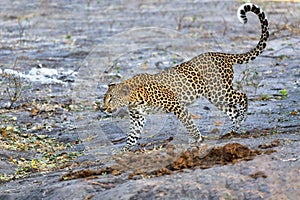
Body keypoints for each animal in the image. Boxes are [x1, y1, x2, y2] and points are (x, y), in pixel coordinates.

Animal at [101, 3, 270, 151]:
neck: (132, 99)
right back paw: (233, 129)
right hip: (215, 97)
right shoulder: (137, 118)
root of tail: (224, 55)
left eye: (111, 98)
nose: (103, 108)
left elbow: (188, 123)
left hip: (220, 91)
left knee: (243, 96)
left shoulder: (177, 105)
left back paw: (242, 119)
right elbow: (132, 136)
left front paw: (197, 138)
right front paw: (123, 151)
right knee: (232, 110)